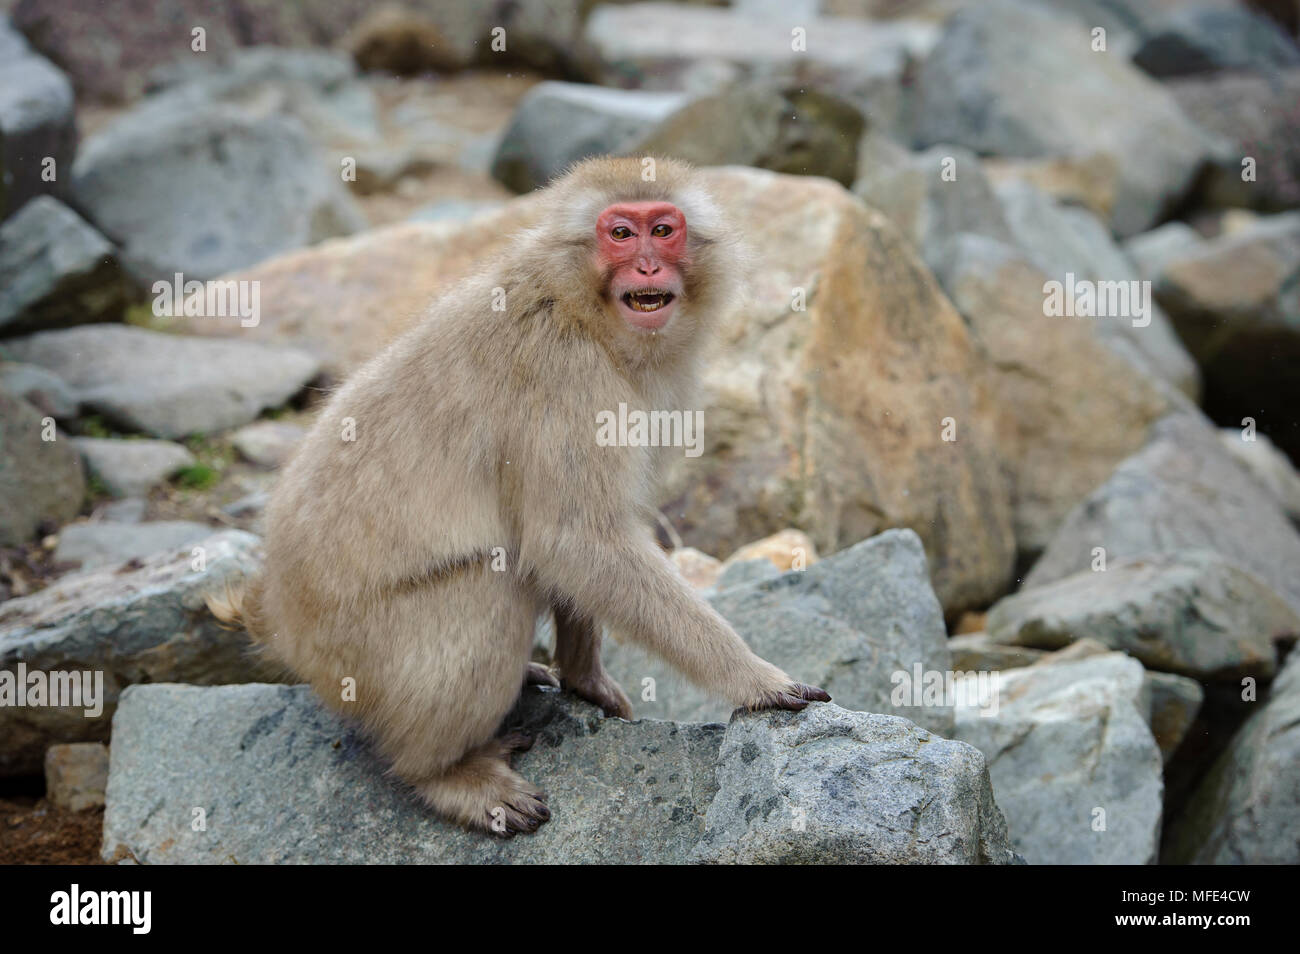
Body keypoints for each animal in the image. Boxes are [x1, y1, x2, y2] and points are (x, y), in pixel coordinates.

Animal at [208, 157, 826, 837]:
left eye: (663, 230)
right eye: (621, 233)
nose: (646, 268)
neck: (578, 307)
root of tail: (277, 618)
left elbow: (588, 546)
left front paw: (585, 679)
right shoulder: (567, 377)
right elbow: (576, 540)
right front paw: (754, 679)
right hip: (354, 653)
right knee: (490, 587)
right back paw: (445, 774)